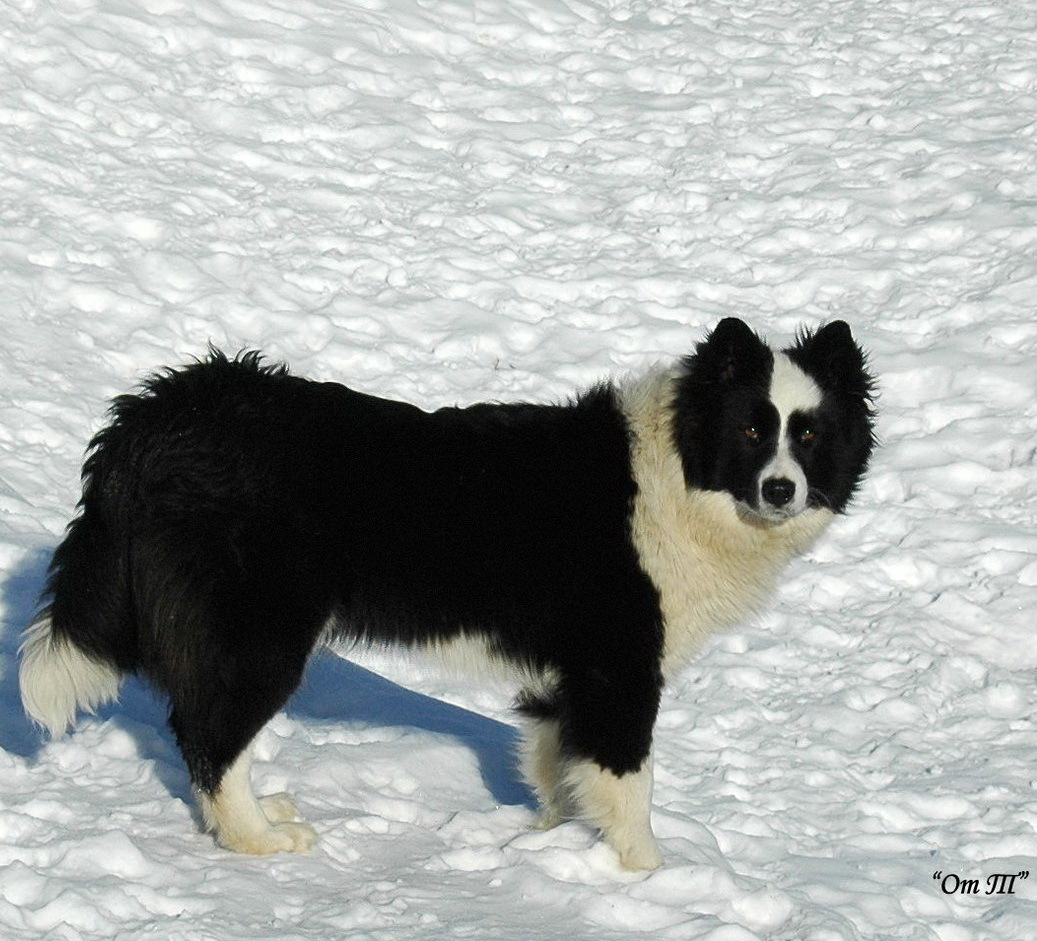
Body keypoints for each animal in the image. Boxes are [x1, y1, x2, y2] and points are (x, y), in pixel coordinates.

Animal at [18, 319, 875, 871]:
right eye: (750, 430)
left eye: (807, 434)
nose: (780, 489)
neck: (679, 473)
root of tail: (156, 412)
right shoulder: (619, 667)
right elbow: (627, 780)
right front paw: (648, 874)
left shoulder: (561, 675)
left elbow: (560, 766)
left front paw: (548, 844)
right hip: (262, 631)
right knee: (208, 733)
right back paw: (259, 842)